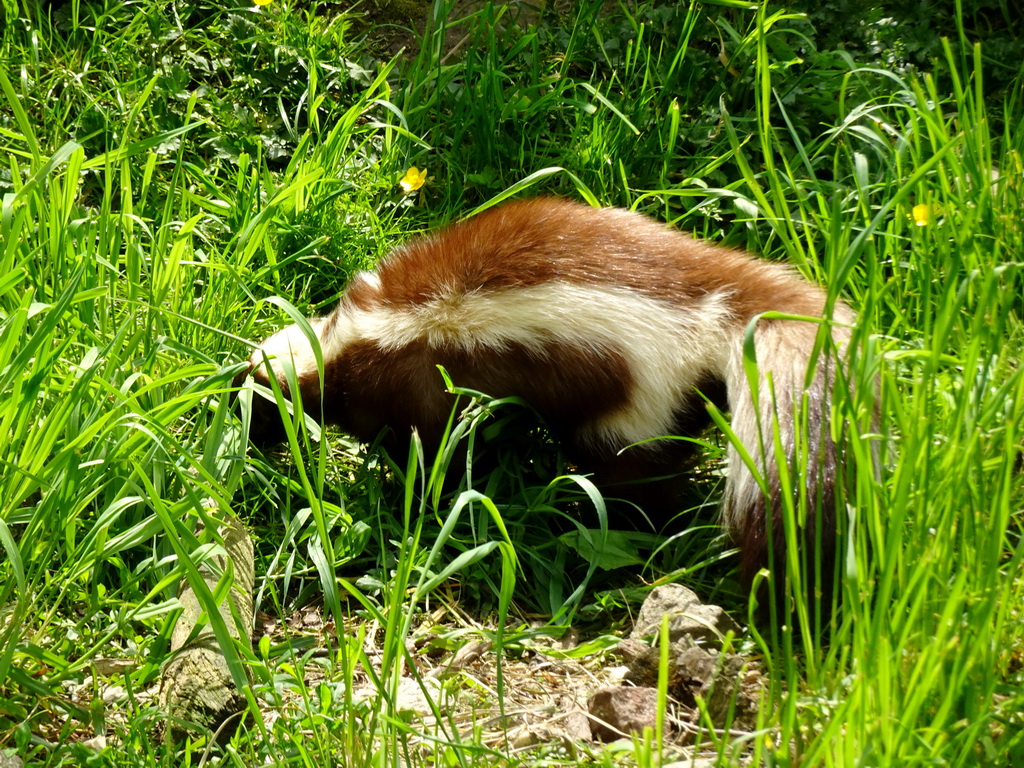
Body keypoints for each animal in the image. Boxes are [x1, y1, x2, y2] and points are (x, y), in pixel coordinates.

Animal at [235, 198, 851, 593]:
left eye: (260, 414)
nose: (239, 455)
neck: (344, 341)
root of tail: (722, 297)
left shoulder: (417, 381)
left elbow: (431, 456)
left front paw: (411, 497)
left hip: (635, 393)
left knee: (639, 477)